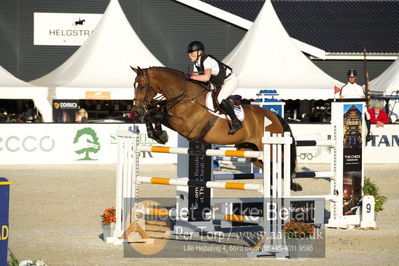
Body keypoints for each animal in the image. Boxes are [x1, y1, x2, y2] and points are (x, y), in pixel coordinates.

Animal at [131, 66, 304, 191]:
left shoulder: (186, 126)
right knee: (273, 167)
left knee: (284, 164)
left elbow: (158, 115)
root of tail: (274, 116)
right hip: (252, 151)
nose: (136, 111)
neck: (185, 95)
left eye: (142, 86)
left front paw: (160, 134)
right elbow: (153, 114)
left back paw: (292, 185)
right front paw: (158, 134)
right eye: (134, 85)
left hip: (272, 148)